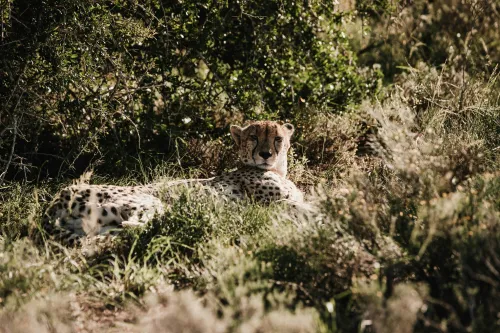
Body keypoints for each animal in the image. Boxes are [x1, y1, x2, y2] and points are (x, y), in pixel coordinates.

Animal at [44, 120, 300, 239]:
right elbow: (302, 206)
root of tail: (60, 195)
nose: (265, 154)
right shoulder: (275, 202)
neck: (278, 171)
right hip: (150, 202)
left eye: (277, 138)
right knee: (137, 225)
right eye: (254, 137)